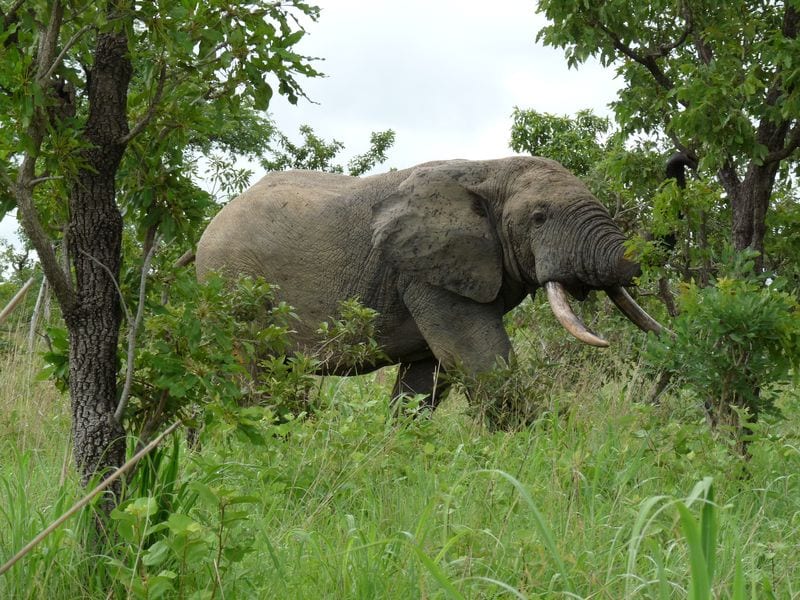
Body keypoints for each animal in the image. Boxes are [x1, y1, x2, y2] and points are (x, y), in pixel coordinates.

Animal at [196, 156, 663, 410]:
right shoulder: (423, 271)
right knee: (254, 376)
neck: (487, 169)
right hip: (232, 282)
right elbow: (479, 360)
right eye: (539, 217)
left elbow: (426, 379)